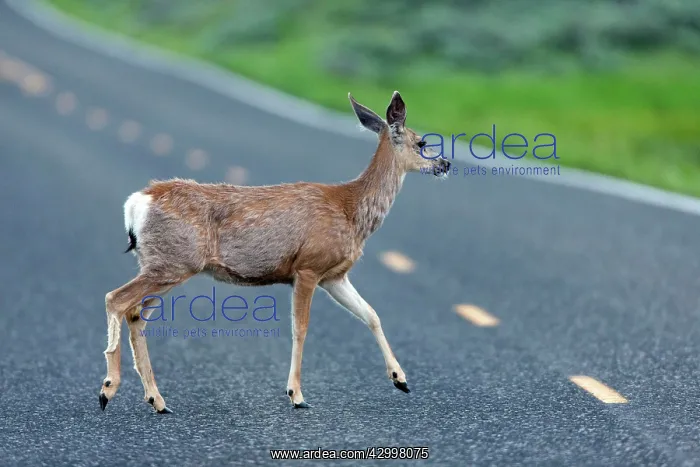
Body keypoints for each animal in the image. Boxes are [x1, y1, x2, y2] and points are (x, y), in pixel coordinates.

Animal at [99, 91, 451, 413]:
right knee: (116, 299)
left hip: (164, 264)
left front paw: (400, 379)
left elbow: (371, 314)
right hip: (172, 262)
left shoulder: (335, 276)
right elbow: (301, 329)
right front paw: (296, 394)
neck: (351, 211)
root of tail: (137, 203)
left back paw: (156, 400)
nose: (445, 163)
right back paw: (108, 390)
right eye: (422, 142)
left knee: (135, 314)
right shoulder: (308, 267)